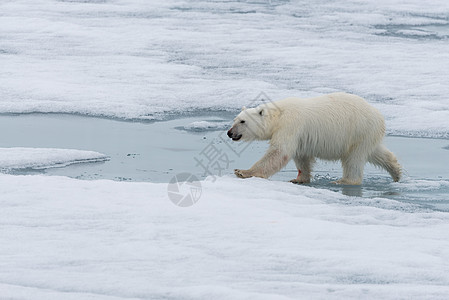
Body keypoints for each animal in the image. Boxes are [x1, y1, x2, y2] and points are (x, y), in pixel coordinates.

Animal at [226, 92, 400, 185]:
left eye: (242, 121)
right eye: (235, 119)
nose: (229, 133)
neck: (278, 115)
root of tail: (379, 117)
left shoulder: (290, 126)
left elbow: (279, 152)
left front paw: (242, 172)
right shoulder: (299, 137)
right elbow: (301, 157)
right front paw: (299, 179)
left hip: (358, 131)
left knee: (353, 160)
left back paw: (344, 181)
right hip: (367, 135)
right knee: (377, 153)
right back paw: (396, 172)